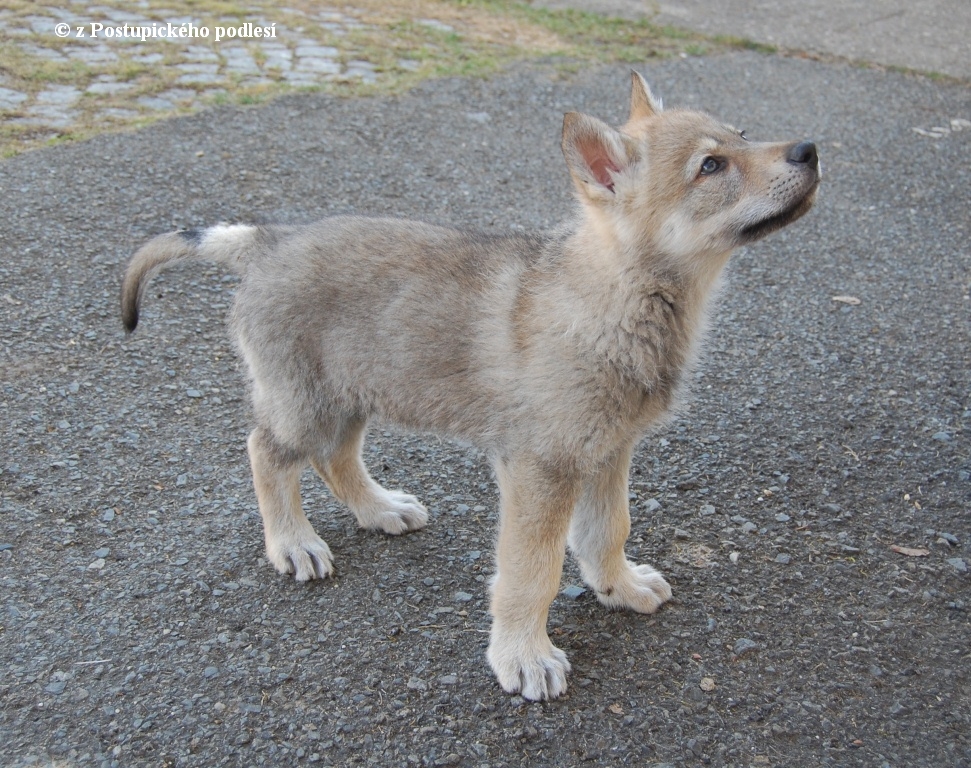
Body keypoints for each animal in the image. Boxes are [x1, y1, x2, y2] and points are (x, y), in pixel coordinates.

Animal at [123, 73, 820, 704]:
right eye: (711, 165)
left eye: (743, 135)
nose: (811, 150)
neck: (619, 299)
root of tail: (267, 241)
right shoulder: (540, 470)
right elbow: (530, 573)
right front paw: (524, 656)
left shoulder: (608, 452)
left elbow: (607, 531)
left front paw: (618, 588)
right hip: (306, 407)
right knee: (265, 453)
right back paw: (293, 543)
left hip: (353, 396)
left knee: (335, 460)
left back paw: (380, 510)